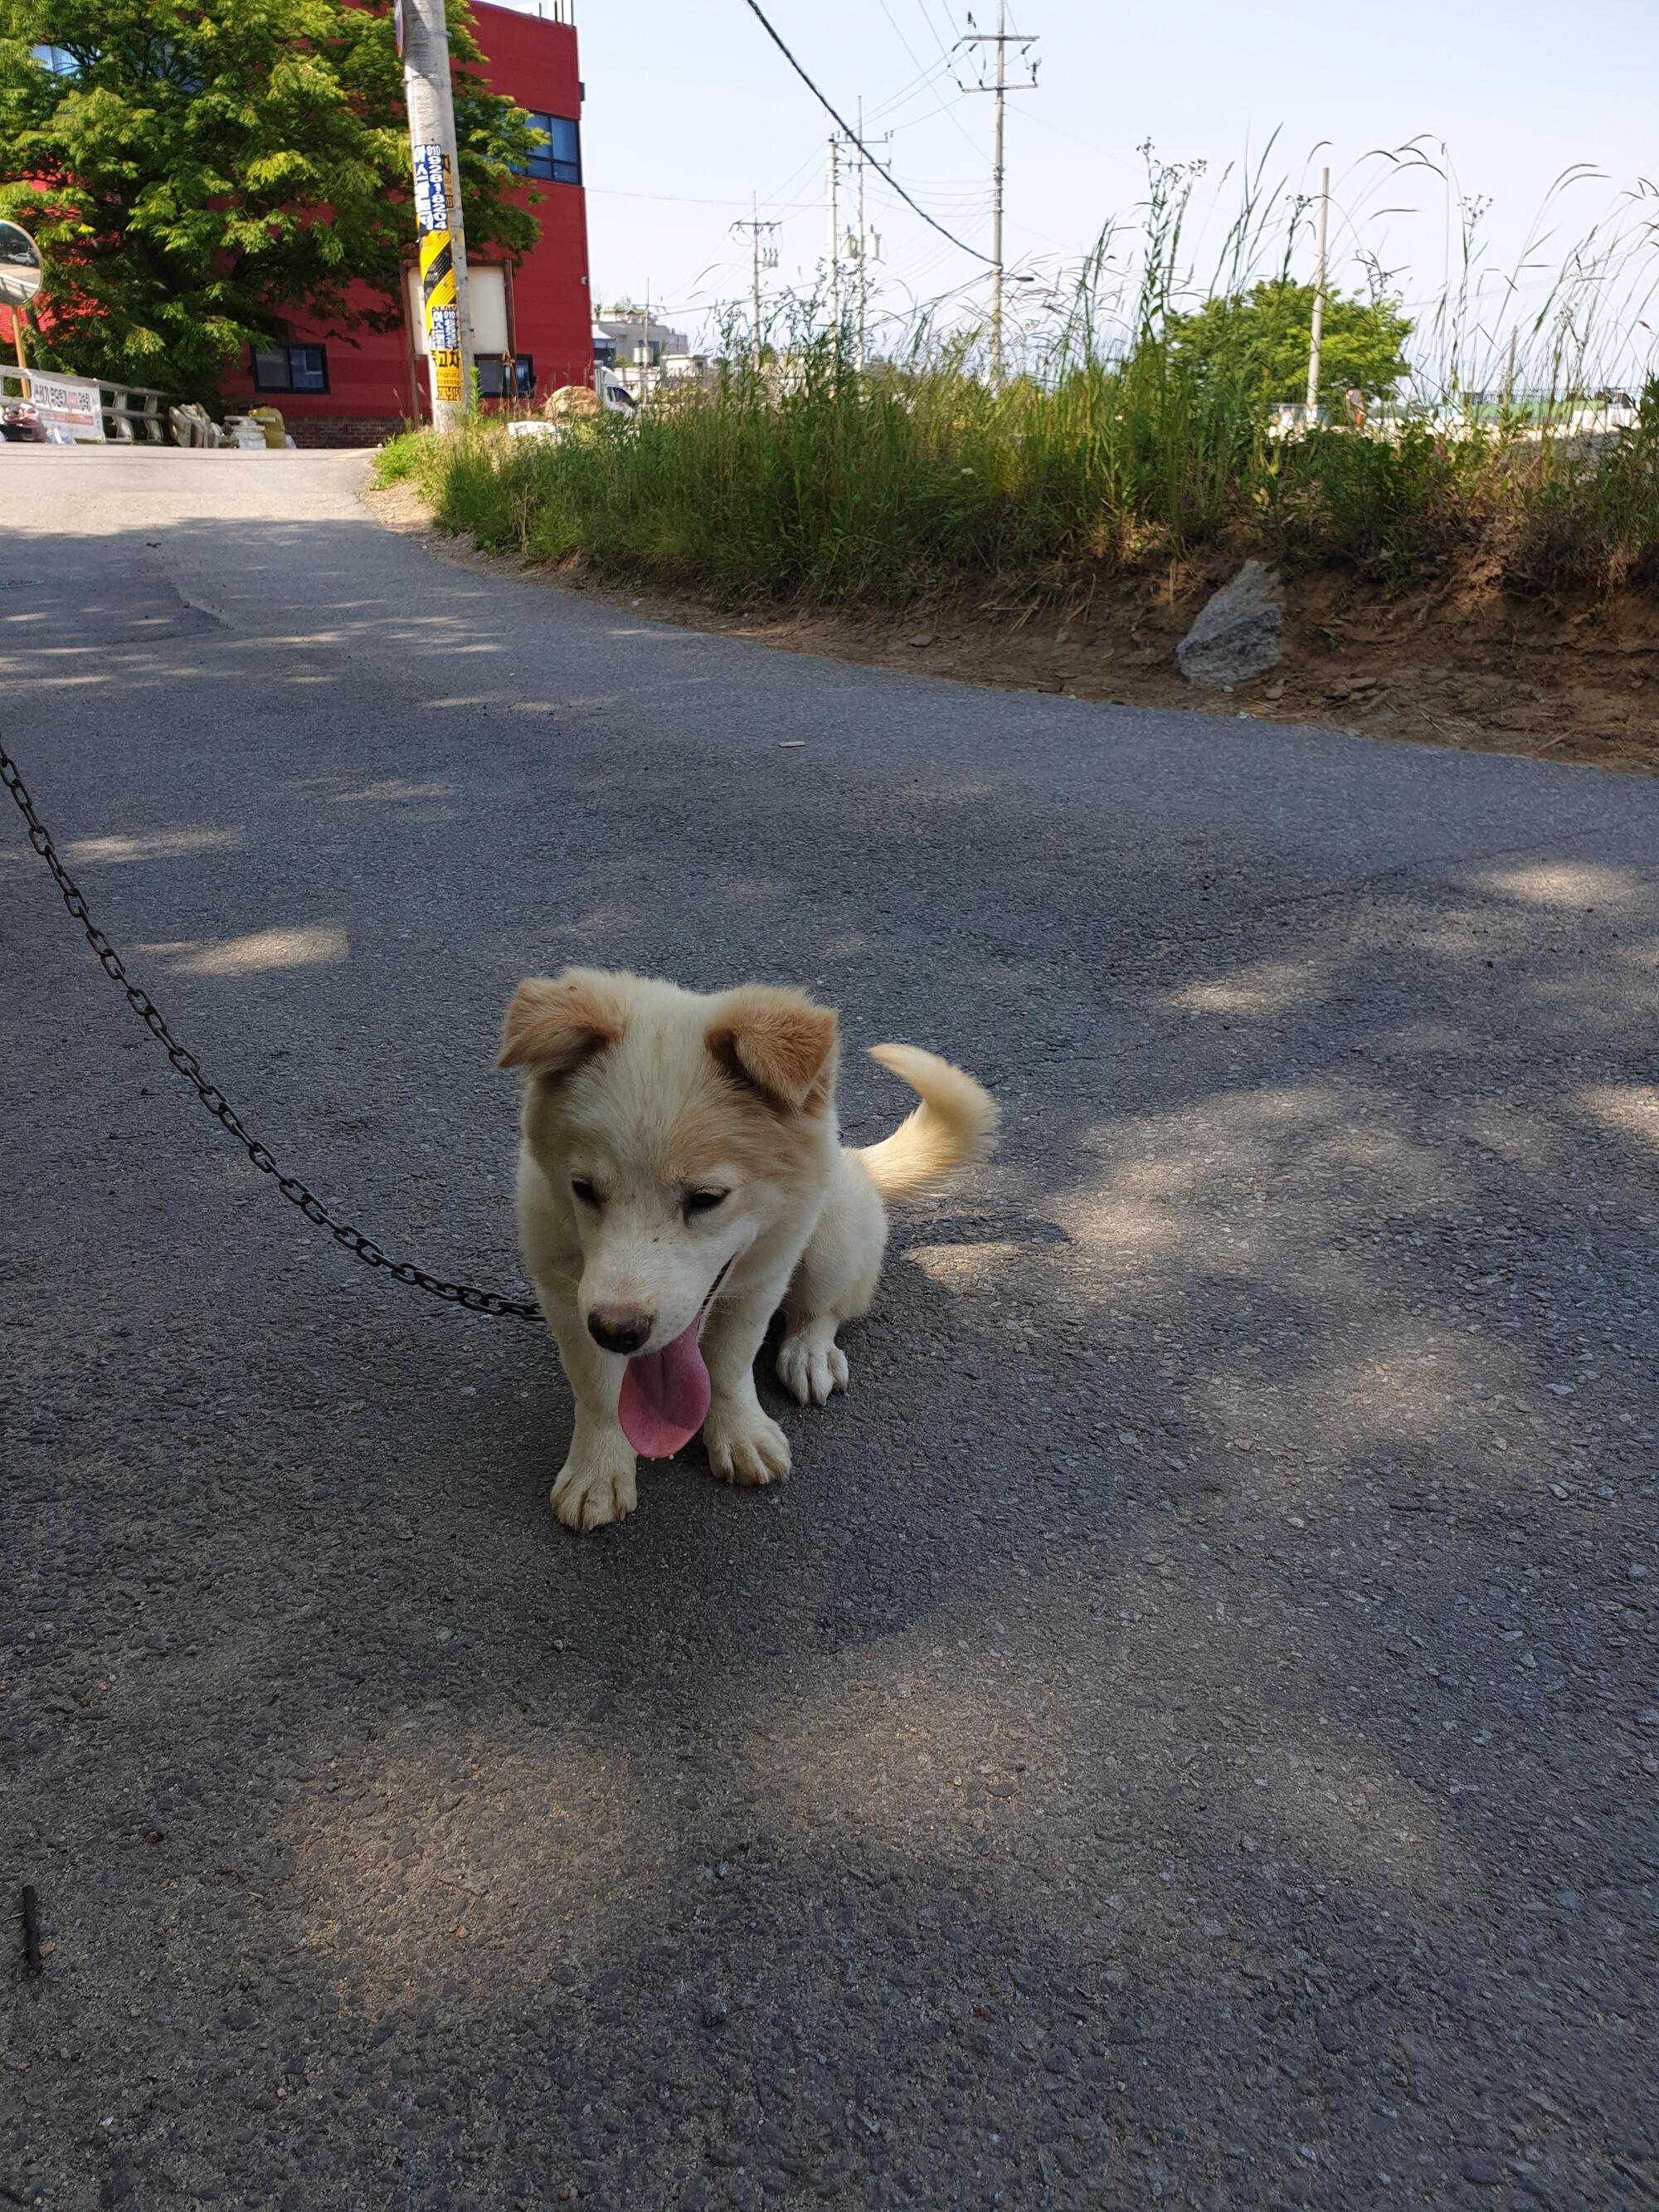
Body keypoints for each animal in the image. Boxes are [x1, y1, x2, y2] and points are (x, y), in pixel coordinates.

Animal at [498, 968, 997, 1531]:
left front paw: (739, 1433)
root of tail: (851, 1157)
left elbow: (729, 1365)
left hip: (834, 1234)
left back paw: (809, 1352)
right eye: (583, 1190)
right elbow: (598, 1390)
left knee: (825, 1309)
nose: (617, 1332)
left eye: (706, 1199)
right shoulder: (566, 1295)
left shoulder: (762, 1281)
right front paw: (598, 1470)